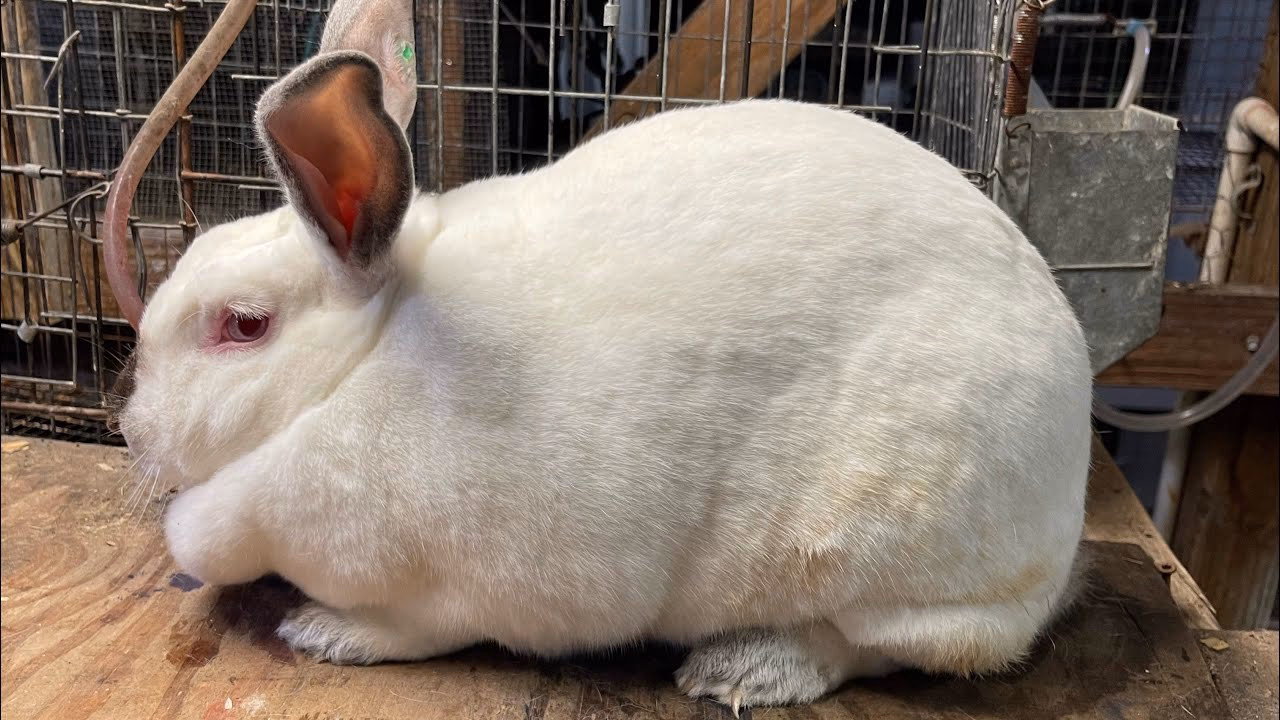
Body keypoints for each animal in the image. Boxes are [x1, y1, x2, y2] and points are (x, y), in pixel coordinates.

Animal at [110, 0, 1092, 709]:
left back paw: (746, 670)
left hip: (895, 558)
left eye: (243, 326)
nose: (131, 429)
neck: (358, 365)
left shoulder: (458, 588)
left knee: (888, 644)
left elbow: (418, 626)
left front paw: (325, 632)